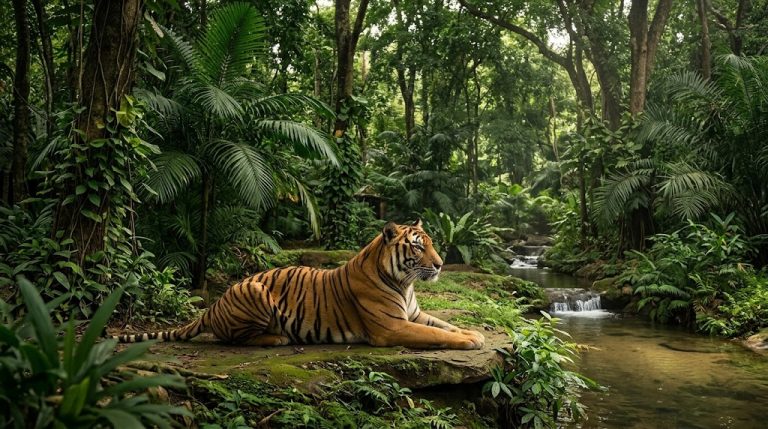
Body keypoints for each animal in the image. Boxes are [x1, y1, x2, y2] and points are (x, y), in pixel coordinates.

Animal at [113, 220, 485, 350]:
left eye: (432, 244)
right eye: (418, 247)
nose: (440, 264)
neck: (404, 283)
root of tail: (212, 306)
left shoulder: (414, 314)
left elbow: (444, 324)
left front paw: (473, 333)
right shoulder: (393, 327)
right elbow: (435, 334)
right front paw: (469, 341)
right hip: (256, 292)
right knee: (235, 338)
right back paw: (277, 338)